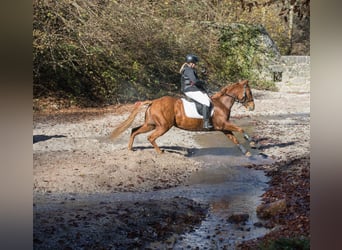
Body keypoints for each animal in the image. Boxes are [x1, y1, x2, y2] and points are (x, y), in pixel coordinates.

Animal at [109, 80, 256, 155]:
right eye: (249, 92)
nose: (252, 107)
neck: (222, 103)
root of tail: (153, 101)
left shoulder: (223, 127)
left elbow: (234, 139)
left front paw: (246, 152)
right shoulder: (224, 124)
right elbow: (241, 129)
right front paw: (252, 142)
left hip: (151, 124)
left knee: (134, 131)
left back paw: (130, 148)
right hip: (163, 126)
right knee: (150, 137)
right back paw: (160, 152)